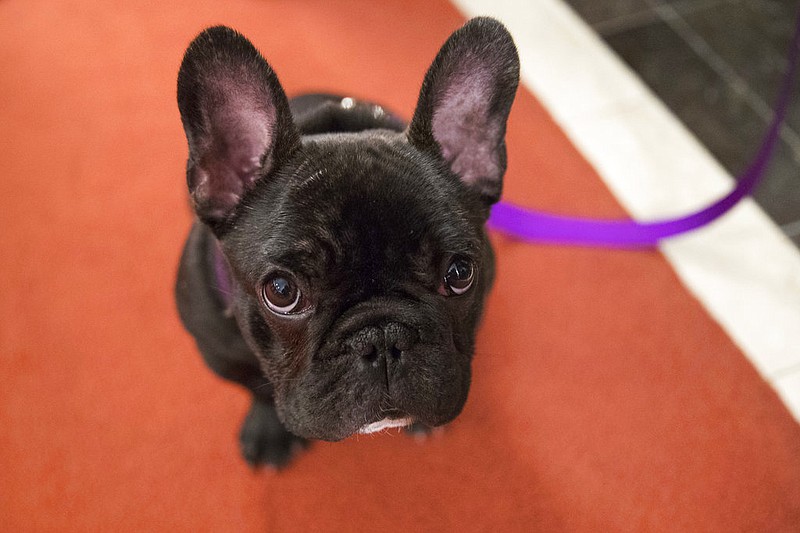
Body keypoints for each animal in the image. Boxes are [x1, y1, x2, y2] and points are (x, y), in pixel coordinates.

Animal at [175, 16, 520, 466]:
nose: (384, 338)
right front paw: (269, 428)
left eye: (460, 273)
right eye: (281, 291)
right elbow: (255, 386)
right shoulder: (218, 352)